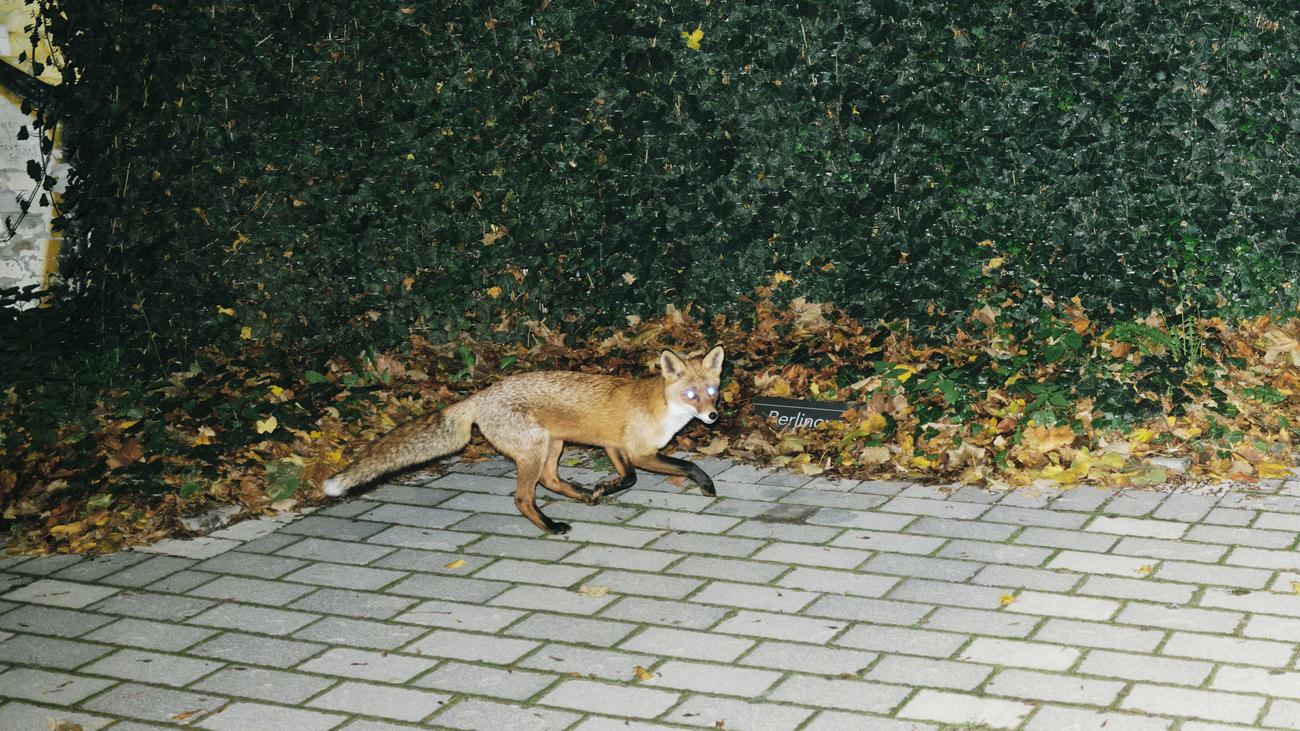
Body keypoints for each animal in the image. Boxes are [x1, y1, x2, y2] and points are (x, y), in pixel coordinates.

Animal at [322, 345, 725, 534]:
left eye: (711, 391)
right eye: (690, 395)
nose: (712, 417)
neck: (661, 408)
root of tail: (480, 395)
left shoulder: (614, 445)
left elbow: (628, 478)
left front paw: (601, 489)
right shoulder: (639, 451)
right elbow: (680, 467)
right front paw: (707, 486)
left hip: (552, 445)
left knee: (549, 480)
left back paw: (581, 496)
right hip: (534, 450)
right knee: (523, 497)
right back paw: (551, 526)